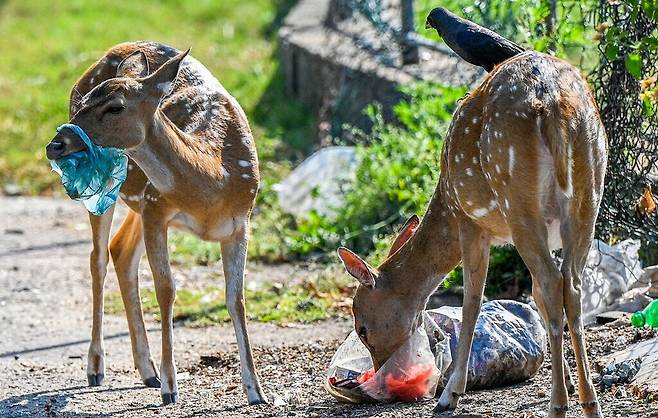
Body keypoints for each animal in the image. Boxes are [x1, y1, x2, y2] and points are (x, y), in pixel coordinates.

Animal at [44, 42, 266, 404]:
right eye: (84, 101)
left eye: (115, 107)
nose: (55, 144)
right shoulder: (156, 208)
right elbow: (166, 290)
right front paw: (170, 387)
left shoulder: (240, 224)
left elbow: (236, 299)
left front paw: (256, 391)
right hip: (116, 193)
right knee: (98, 259)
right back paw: (97, 367)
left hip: (137, 200)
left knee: (120, 251)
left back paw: (146, 371)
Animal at [338, 50, 604, 416]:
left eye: (362, 328)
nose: (379, 371)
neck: (445, 203)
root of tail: (551, 101)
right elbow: (534, 295)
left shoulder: (470, 223)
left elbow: (472, 303)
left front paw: (450, 394)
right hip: (588, 195)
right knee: (571, 286)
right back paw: (589, 402)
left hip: (518, 201)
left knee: (553, 283)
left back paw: (557, 405)